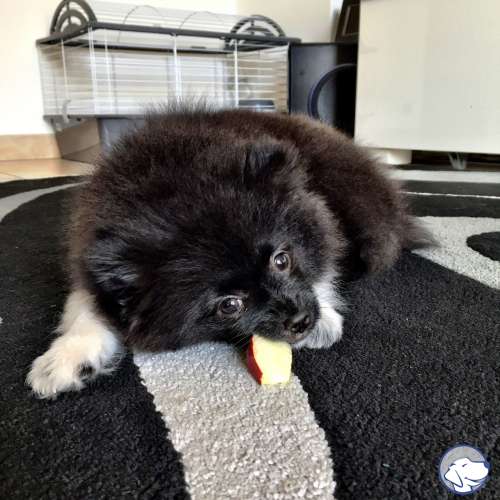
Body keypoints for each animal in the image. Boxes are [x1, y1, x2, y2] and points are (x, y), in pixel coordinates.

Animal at [27, 107, 433, 398]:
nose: (301, 320)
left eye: (282, 260)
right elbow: (84, 306)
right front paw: (64, 359)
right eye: (229, 305)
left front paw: (326, 316)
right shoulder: (92, 263)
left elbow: (324, 256)